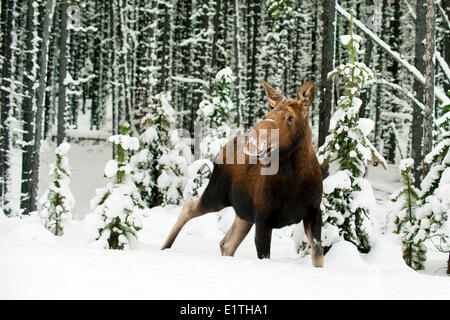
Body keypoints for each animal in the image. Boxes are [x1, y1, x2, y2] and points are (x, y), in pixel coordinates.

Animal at [162, 80, 324, 268]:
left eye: (290, 118)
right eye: (268, 113)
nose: (252, 141)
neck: (294, 182)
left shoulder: (314, 212)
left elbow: (318, 256)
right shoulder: (263, 219)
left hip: (243, 213)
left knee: (226, 243)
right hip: (218, 195)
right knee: (188, 208)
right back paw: (165, 247)